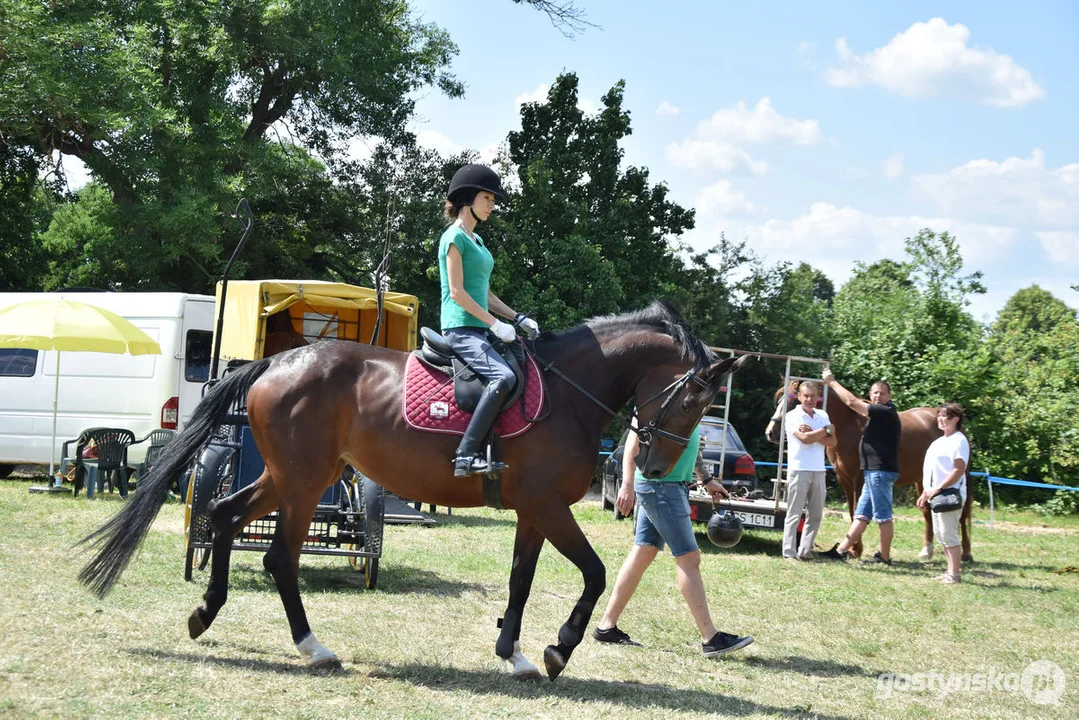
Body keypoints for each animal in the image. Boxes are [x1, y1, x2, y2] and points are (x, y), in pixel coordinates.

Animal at [79, 302, 750, 682]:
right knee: (279, 557)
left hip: (285, 477)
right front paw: (559, 649)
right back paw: (313, 648)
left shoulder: (533, 512)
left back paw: (205, 612)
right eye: (693, 401)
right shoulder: (549, 507)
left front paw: (514, 653)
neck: (569, 393)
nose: (658, 466)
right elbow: (594, 572)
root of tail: (276, 363)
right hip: (303, 483)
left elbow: (521, 582)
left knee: (221, 515)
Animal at [763, 382, 975, 561]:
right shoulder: (844, 479)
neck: (848, 426)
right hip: (923, 481)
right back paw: (927, 551)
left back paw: (966, 553)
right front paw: (851, 549)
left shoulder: (859, 479)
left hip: (958, 477)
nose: (770, 432)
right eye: (779, 399)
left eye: (794, 401)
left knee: (963, 514)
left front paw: (855, 549)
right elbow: (852, 512)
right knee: (927, 512)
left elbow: (858, 510)